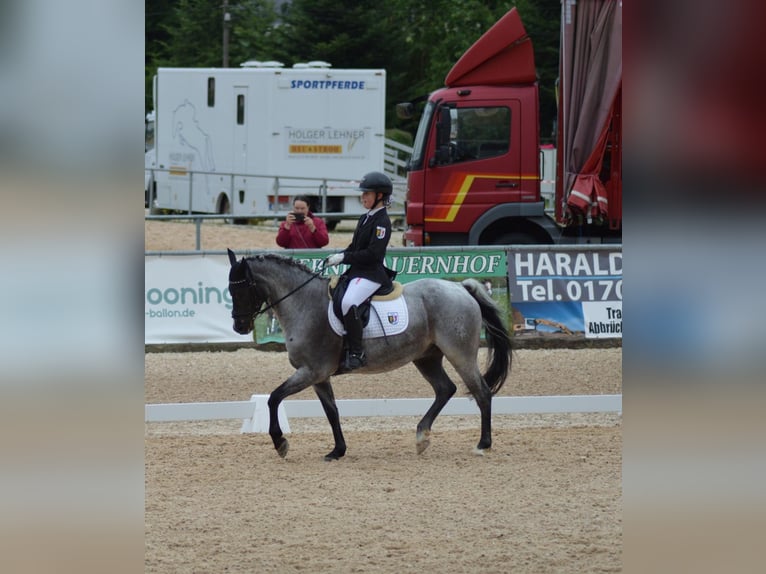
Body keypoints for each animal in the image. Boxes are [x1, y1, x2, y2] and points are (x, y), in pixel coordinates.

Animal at [228, 250, 516, 462]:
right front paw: (337, 451)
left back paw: (482, 445)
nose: (239, 327)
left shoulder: (311, 371)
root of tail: (461, 289)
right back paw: (422, 437)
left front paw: (280, 443)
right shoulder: (319, 376)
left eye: (242, 289)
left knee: (481, 392)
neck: (303, 303)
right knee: (446, 389)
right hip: (426, 357)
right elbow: (331, 411)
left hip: (460, 353)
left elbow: (274, 398)